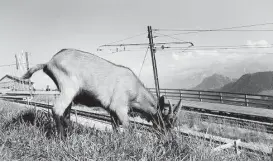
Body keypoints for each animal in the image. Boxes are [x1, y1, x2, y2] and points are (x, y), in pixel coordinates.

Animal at [21, 48, 183, 138]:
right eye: (166, 123)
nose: (167, 139)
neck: (135, 90)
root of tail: (49, 62)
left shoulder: (112, 110)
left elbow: (115, 126)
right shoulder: (120, 107)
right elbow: (128, 127)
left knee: (65, 114)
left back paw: (70, 134)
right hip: (69, 88)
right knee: (57, 110)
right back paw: (61, 138)